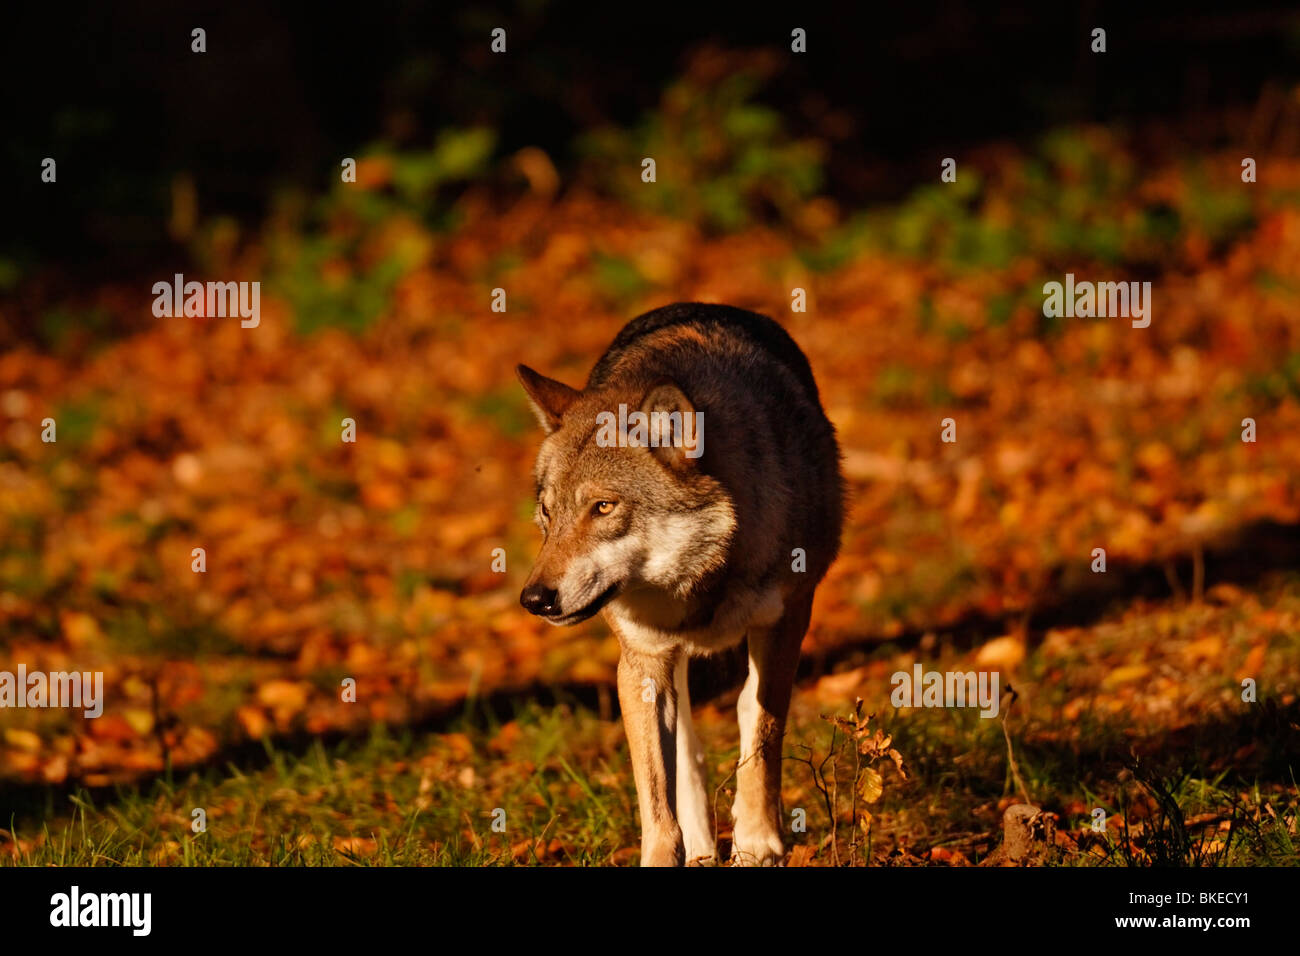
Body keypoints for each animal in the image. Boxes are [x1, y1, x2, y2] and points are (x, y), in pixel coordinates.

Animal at [517, 300, 842, 868]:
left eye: (603, 507)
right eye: (547, 513)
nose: (534, 600)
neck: (702, 582)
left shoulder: (788, 621)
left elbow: (762, 730)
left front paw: (758, 840)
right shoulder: (642, 660)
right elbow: (655, 793)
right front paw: (666, 853)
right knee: (686, 752)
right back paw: (701, 847)